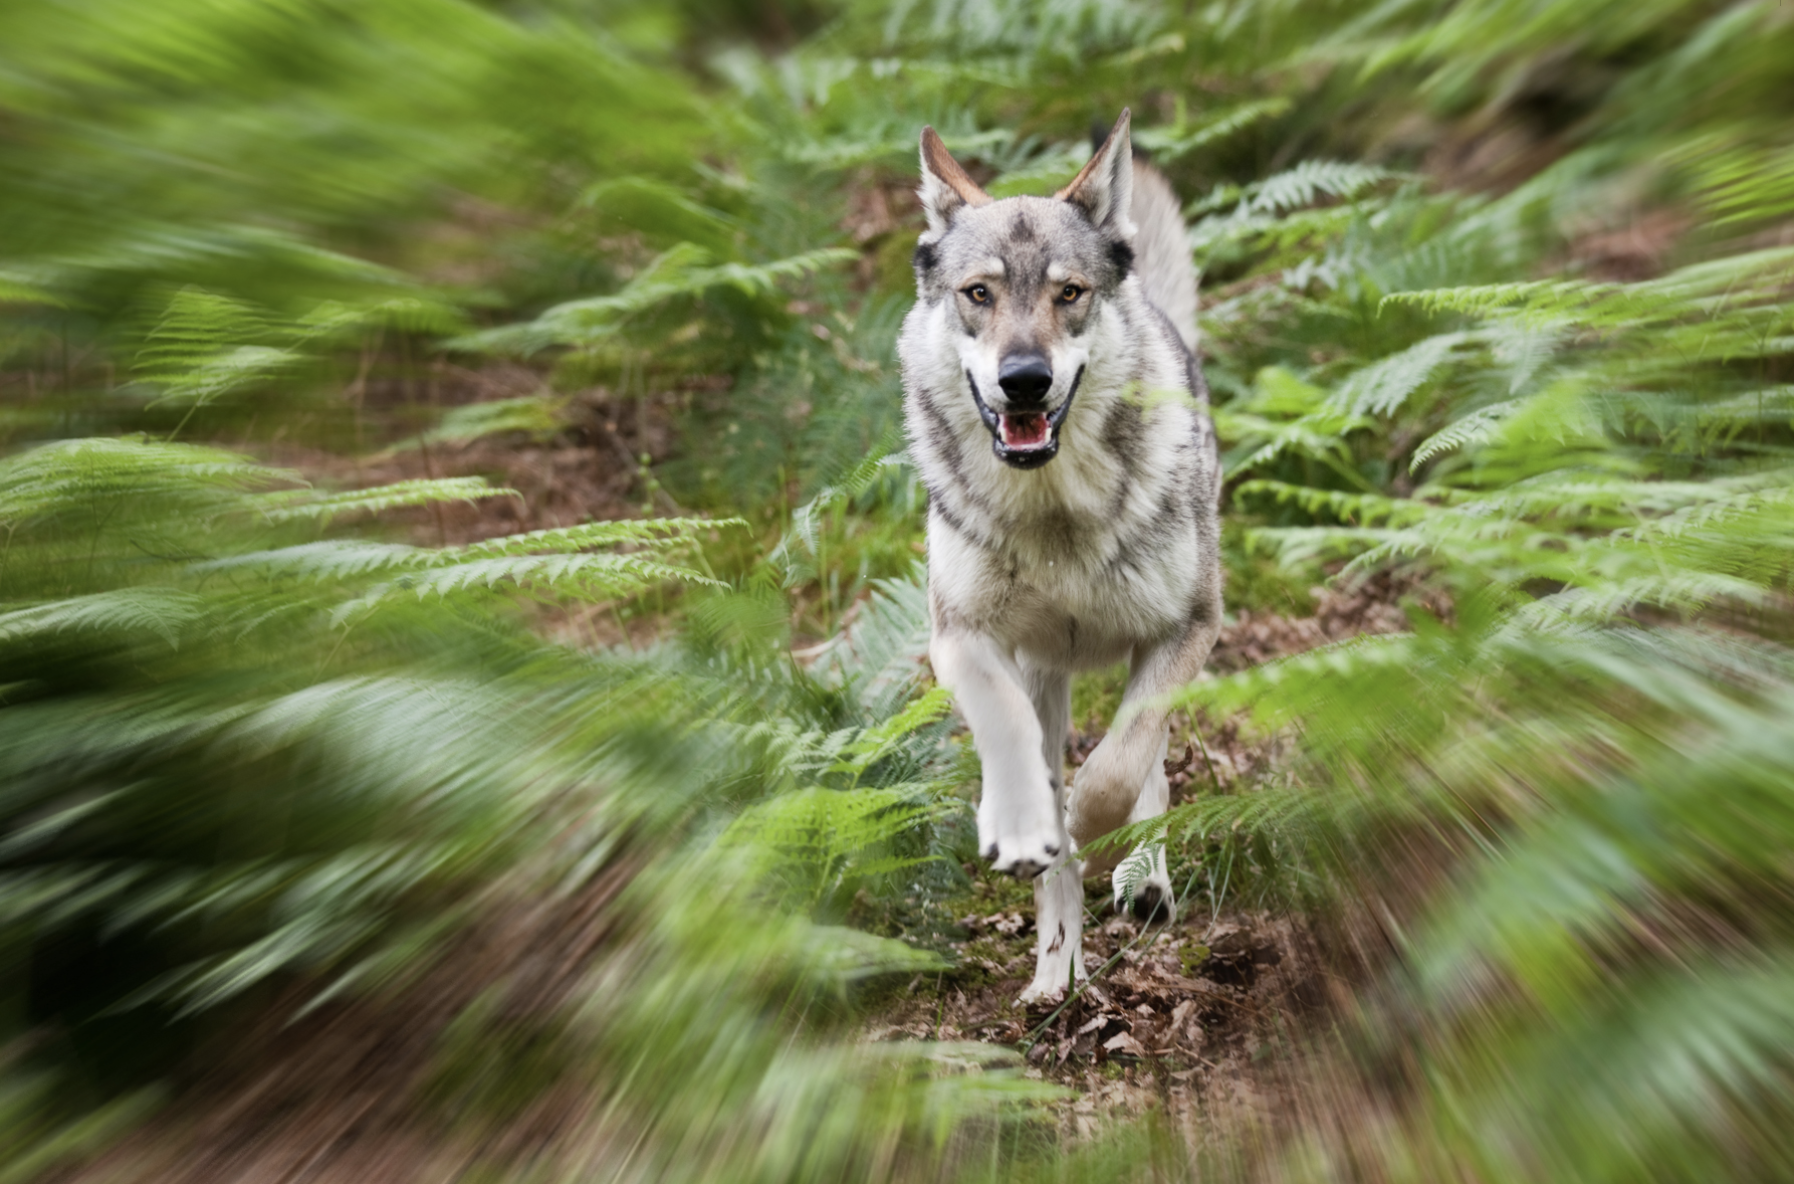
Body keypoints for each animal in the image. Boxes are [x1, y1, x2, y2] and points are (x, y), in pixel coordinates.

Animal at [893, 108, 1219, 997]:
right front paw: (1025, 830)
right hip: (1044, 677)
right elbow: (1006, 735)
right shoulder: (960, 636)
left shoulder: (1190, 626)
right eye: (979, 294)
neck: (1052, 518)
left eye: (1068, 293)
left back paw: (1141, 880)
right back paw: (1054, 980)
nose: (1025, 380)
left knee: (1154, 767)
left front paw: (1090, 828)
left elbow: (1117, 768)